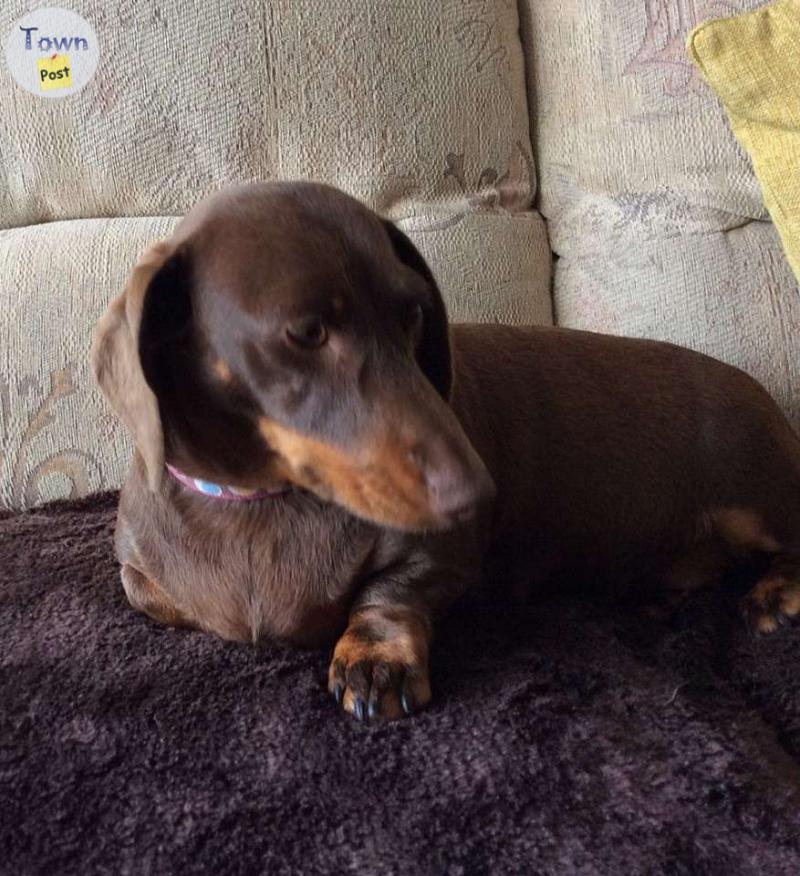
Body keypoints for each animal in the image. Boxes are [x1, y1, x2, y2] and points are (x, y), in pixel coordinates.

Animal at [94, 181, 800, 724]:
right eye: (308, 331)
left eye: (412, 314)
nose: (480, 496)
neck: (265, 503)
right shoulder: (138, 576)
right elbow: (161, 599)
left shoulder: (441, 558)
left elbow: (390, 593)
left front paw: (375, 657)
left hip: (755, 498)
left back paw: (773, 595)